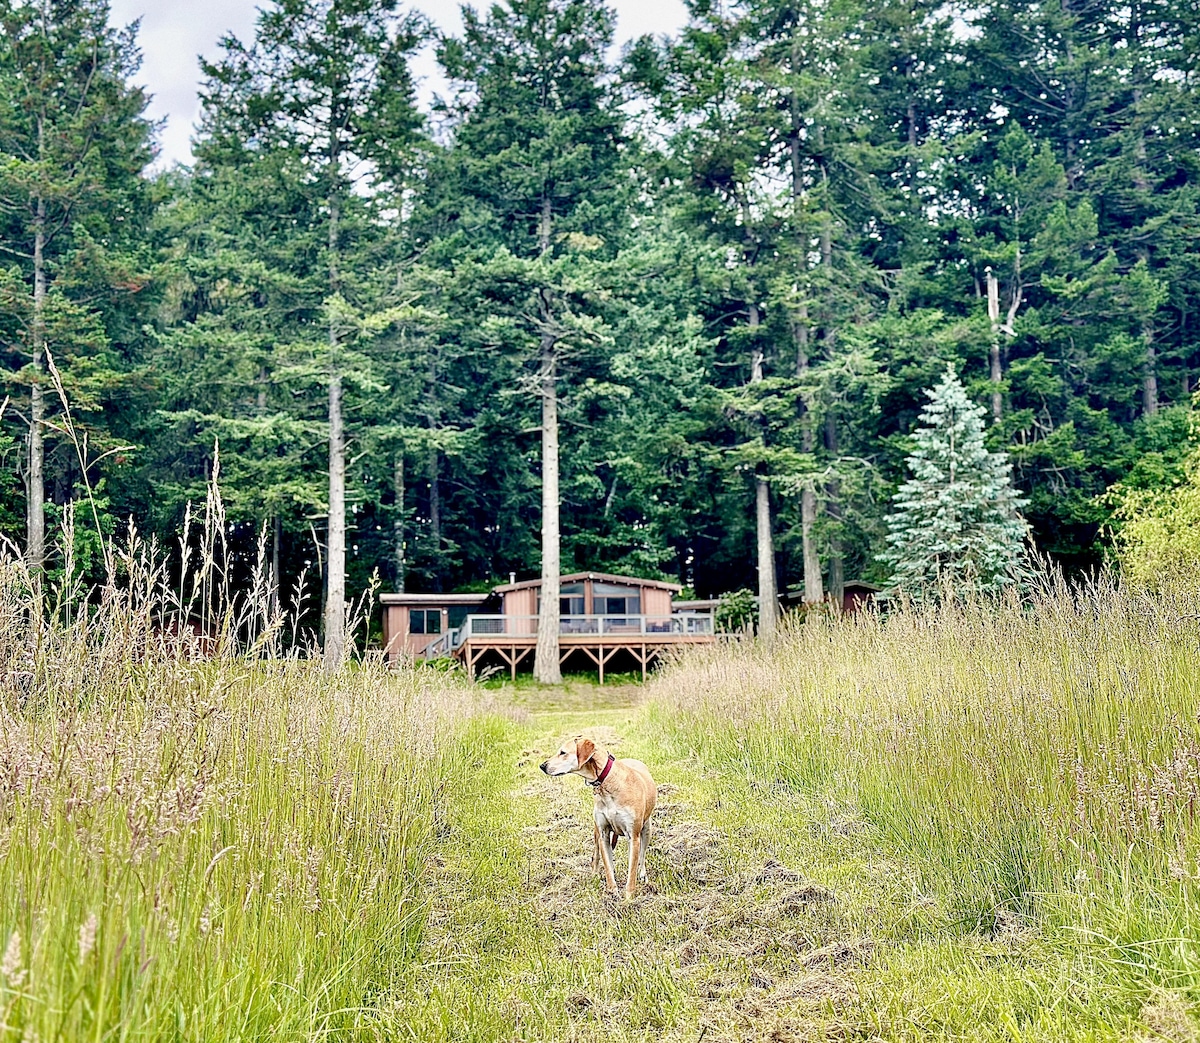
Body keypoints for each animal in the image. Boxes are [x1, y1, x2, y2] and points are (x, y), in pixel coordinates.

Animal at [542, 734, 657, 892]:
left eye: (563, 752)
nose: (542, 766)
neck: (607, 783)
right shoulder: (603, 833)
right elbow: (608, 866)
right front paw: (612, 891)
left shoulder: (633, 836)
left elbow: (632, 871)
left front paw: (628, 896)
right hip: (596, 831)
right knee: (596, 855)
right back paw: (595, 874)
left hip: (646, 829)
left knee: (642, 856)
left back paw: (643, 874)